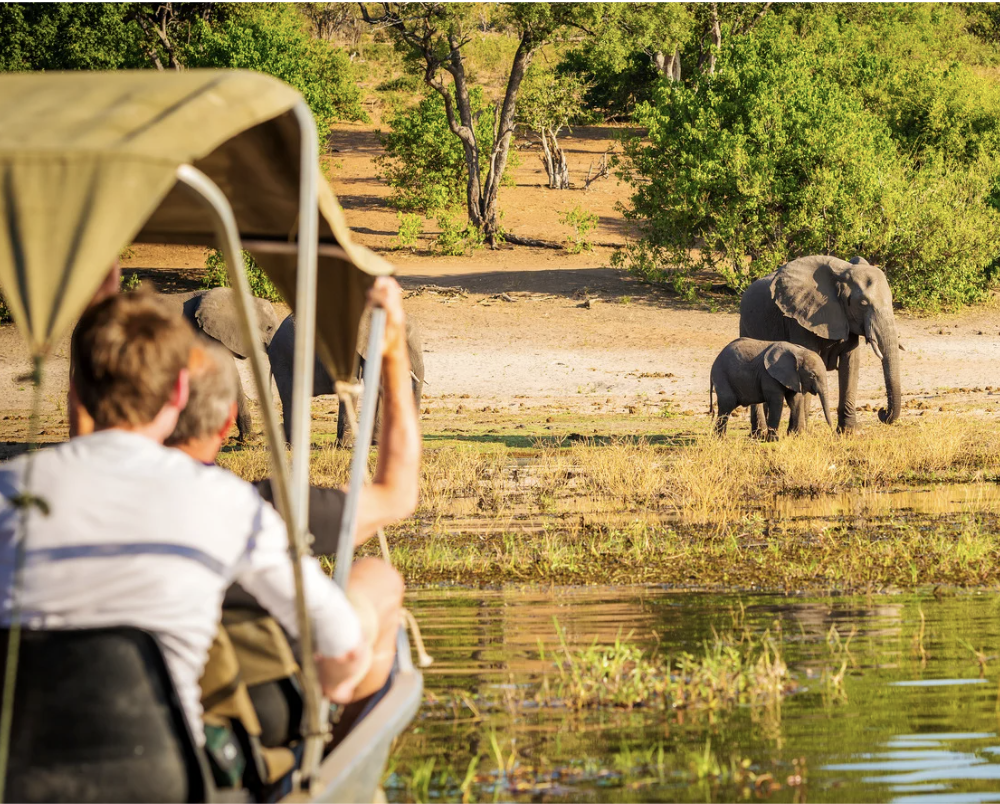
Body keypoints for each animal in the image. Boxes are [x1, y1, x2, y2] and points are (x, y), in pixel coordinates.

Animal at [268, 310, 424, 446]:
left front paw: (375, 443)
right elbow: (352, 384)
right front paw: (346, 446)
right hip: (282, 358)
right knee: (290, 397)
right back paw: (292, 445)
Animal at [739, 255, 900, 434]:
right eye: (863, 303)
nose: (882, 412)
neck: (842, 273)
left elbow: (850, 364)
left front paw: (850, 433)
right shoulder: (799, 319)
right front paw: (800, 434)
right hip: (745, 325)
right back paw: (759, 434)